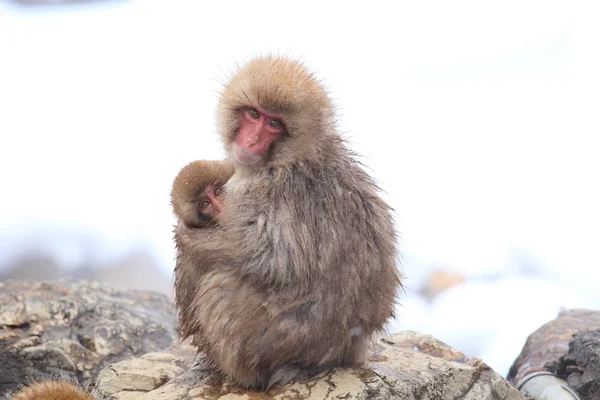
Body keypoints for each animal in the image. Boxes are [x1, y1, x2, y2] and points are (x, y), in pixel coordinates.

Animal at [171, 56, 400, 388]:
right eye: (254, 114)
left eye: (274, 124)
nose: (252, 140)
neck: (292, 157)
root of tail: (343, 352)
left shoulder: (263, 191)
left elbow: (271, 257)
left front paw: (186, 238)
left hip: (269, 340)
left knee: (218, 284)